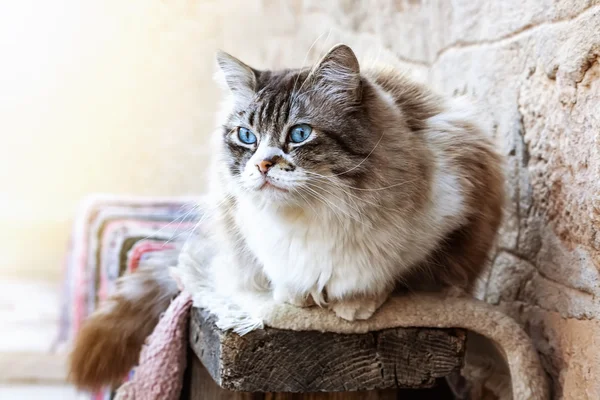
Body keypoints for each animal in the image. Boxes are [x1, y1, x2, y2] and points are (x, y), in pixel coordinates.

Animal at [71, 44, 506, 390]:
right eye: (246, 137)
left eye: (299, 134)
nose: (263, 164)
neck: (310, 214)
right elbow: (289, 279)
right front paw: (297, 299)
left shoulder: (444, 212)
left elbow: (383, 275)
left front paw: (354, 305)